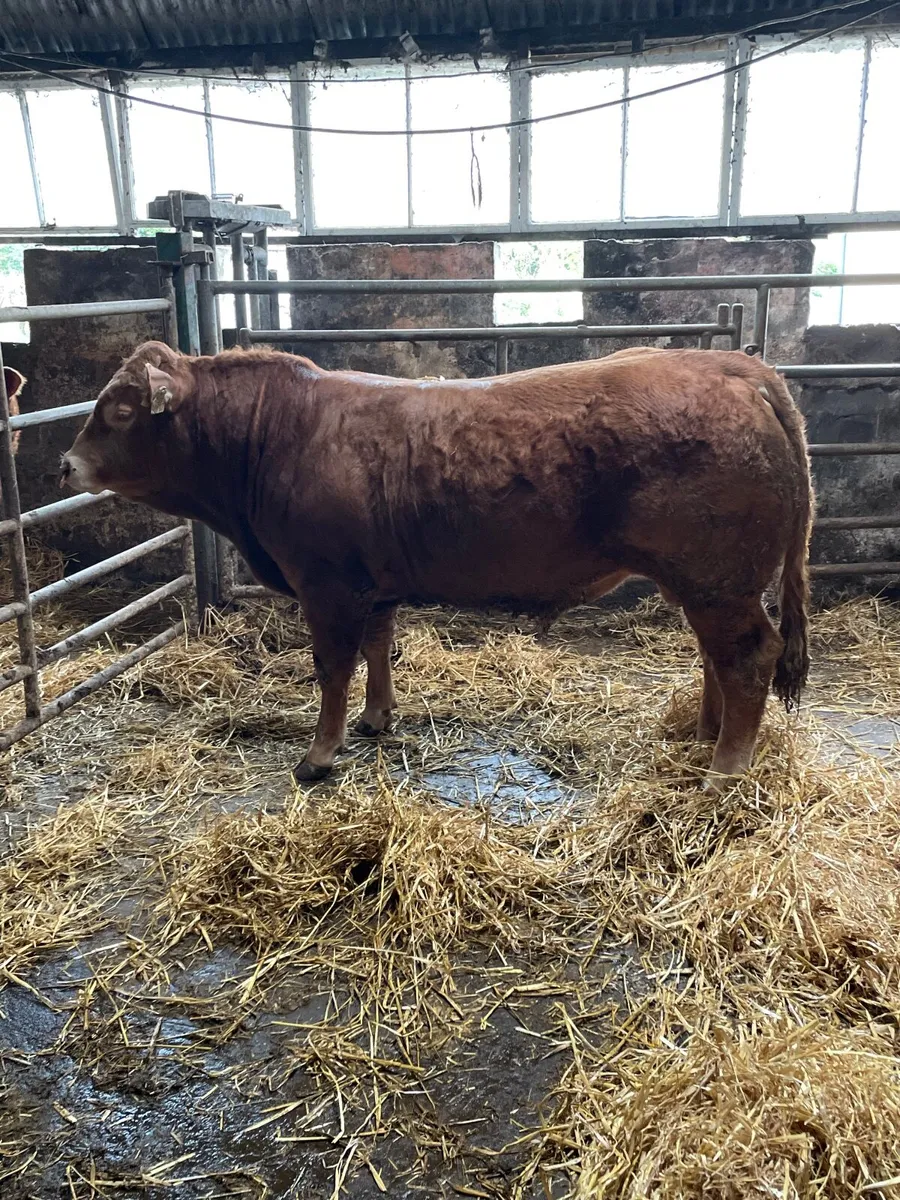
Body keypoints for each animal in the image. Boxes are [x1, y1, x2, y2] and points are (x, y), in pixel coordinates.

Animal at [60, 342, 813, 791]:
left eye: (120, 409)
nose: (66, 465)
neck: (280, 432)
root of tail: (733, 364)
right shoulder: (372, 586)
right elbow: (378, 649)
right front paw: (377, 717)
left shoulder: (325, 584)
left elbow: (332, 667)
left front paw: (319, 755)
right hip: (704, 583)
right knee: (716, 657)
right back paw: (703, 734)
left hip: (719, 581)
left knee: (749, 657)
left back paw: (724, 772)